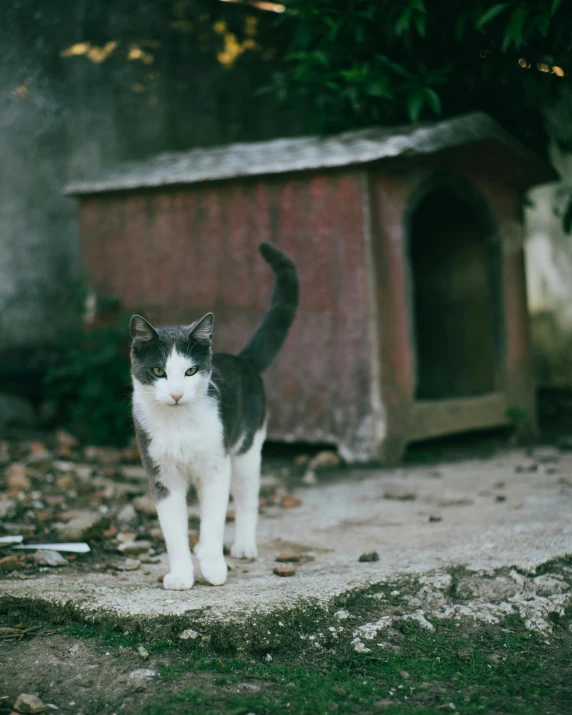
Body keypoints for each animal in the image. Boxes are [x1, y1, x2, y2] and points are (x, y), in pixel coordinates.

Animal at [130, 243, 300, 592]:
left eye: (191, 371)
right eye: (158, 371)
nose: (177, 394)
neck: (179, 422)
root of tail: (243, 359)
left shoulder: (216, 467)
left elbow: (213, 521)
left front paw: (212, 567)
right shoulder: (161, 474)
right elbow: (173, 530)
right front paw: (182, 574)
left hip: (247, 449)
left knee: (247, 500)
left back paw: (244, 547)